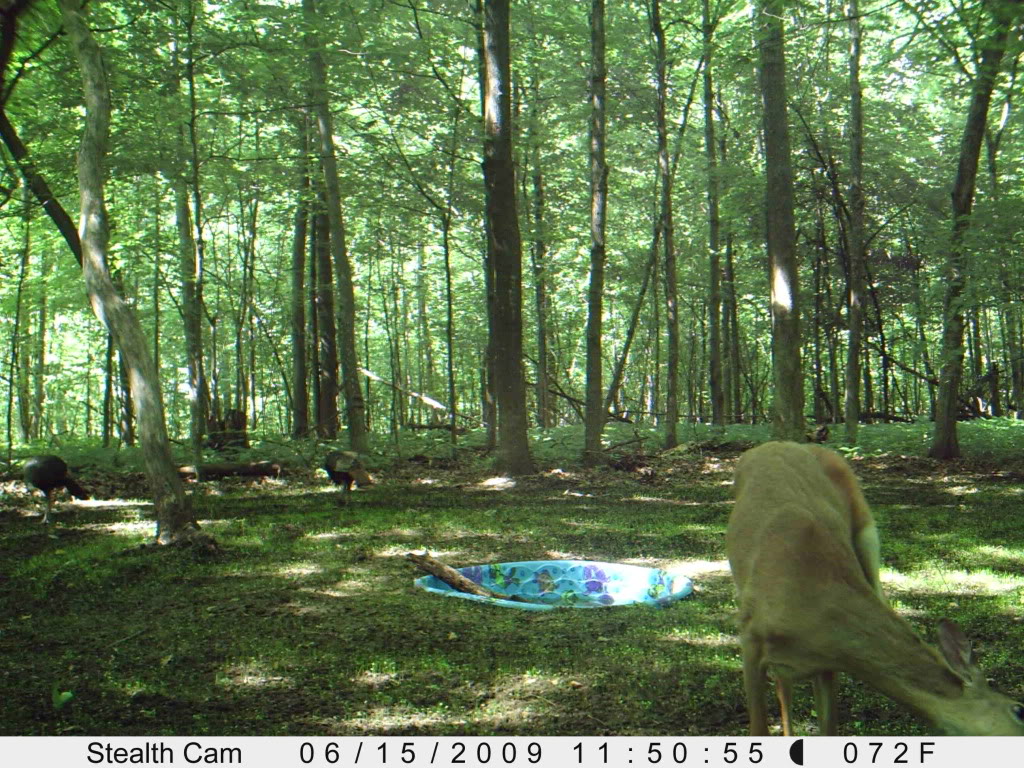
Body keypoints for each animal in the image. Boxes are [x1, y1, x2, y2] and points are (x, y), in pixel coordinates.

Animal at [729, 442, 1024, 737]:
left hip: (868, 539)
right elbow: (759, 728)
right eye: (1019, 710)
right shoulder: (750, 637)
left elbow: (828, 727)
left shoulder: (827, 664)